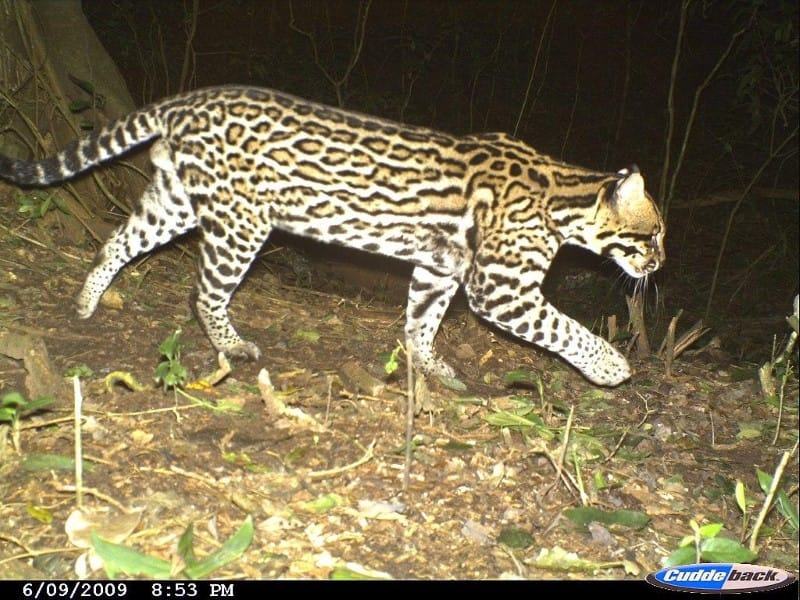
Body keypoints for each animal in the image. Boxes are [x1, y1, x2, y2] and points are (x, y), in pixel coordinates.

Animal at [0, 85, 664, 384]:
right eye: (653, 236)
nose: (659, 267)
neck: (567, 197)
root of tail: (188, 100)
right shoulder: (501, 290)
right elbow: (564, 328)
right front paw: (611, 365)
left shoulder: (439, 267)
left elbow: (420, 322)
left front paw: (428, 366)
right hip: (242, 223)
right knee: (203, 291)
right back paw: (232, 344)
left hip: (177, 203)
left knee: (116, 241)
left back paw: (86, 301)